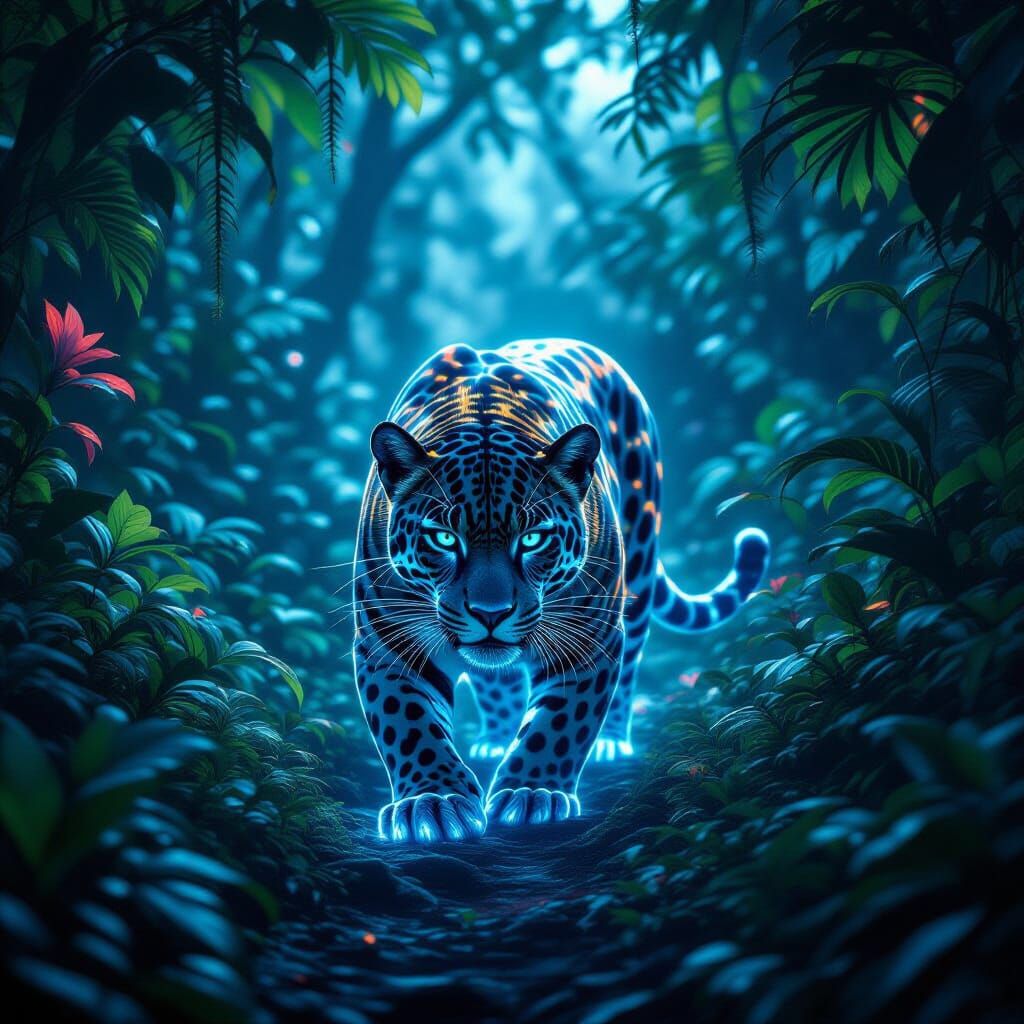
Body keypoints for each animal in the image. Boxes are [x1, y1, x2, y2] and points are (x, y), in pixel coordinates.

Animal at [352, 339, 769, 843]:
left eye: (533, 539)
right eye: (444, 539)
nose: (490, 613)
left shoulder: (588, 639)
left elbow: (560, 724)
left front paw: (532, 794)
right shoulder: (389, 644)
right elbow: (410, 725)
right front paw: (433, 802)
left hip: (639, 563)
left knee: (629, 665)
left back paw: (610, 741)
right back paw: (494, 740)